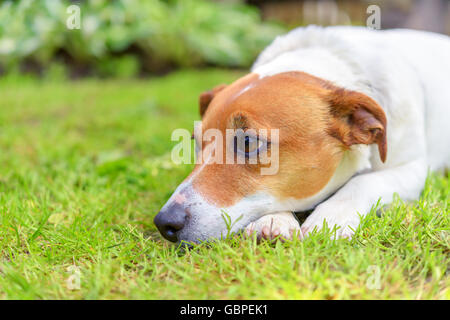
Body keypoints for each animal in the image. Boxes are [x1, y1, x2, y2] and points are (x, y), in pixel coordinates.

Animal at [154, 26, 446, 244]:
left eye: (248, 142)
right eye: (196, 143)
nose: (164, 222)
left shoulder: (412, 169)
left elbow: (365, 182)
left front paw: (332, 216)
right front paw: (272, 220)